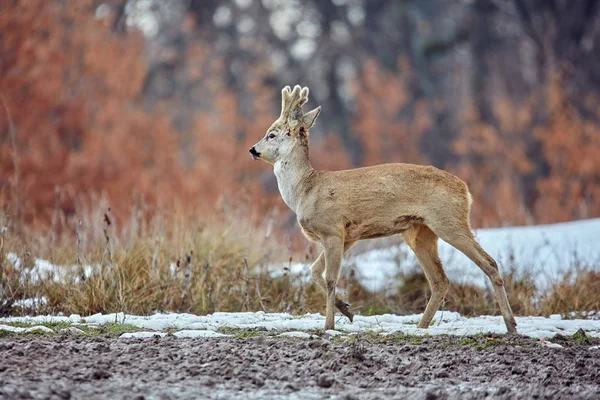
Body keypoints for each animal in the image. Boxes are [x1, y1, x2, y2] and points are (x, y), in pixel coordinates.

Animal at [248, 86, 516, 332]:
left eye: (271, 134)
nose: (253, 149)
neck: (305, 190)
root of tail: (465, 190)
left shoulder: (333, 230)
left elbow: (330, 278)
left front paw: (329, 325)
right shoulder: (348, 236)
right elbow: (315, 272)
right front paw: (347, 310)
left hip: (449, 221)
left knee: (489, 263)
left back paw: (511, 325)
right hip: (420, 232)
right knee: (440, 280)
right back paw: (421, 327)